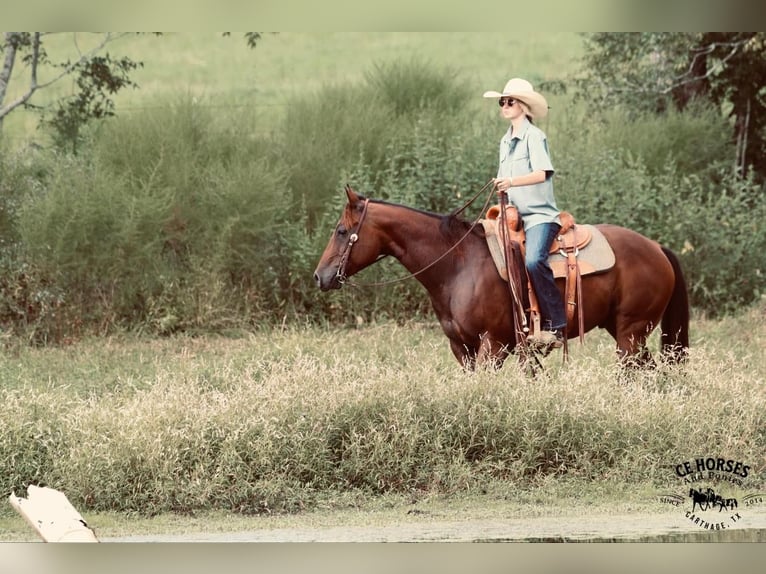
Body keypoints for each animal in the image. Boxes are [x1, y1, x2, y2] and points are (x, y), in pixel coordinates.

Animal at [316, 187, 692, 372]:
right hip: (625, 331)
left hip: (631, 332)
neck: (458, 266)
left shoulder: (494, 345)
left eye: (341, 231)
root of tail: (657, 248)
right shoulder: (462, 349)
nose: (320, 276)